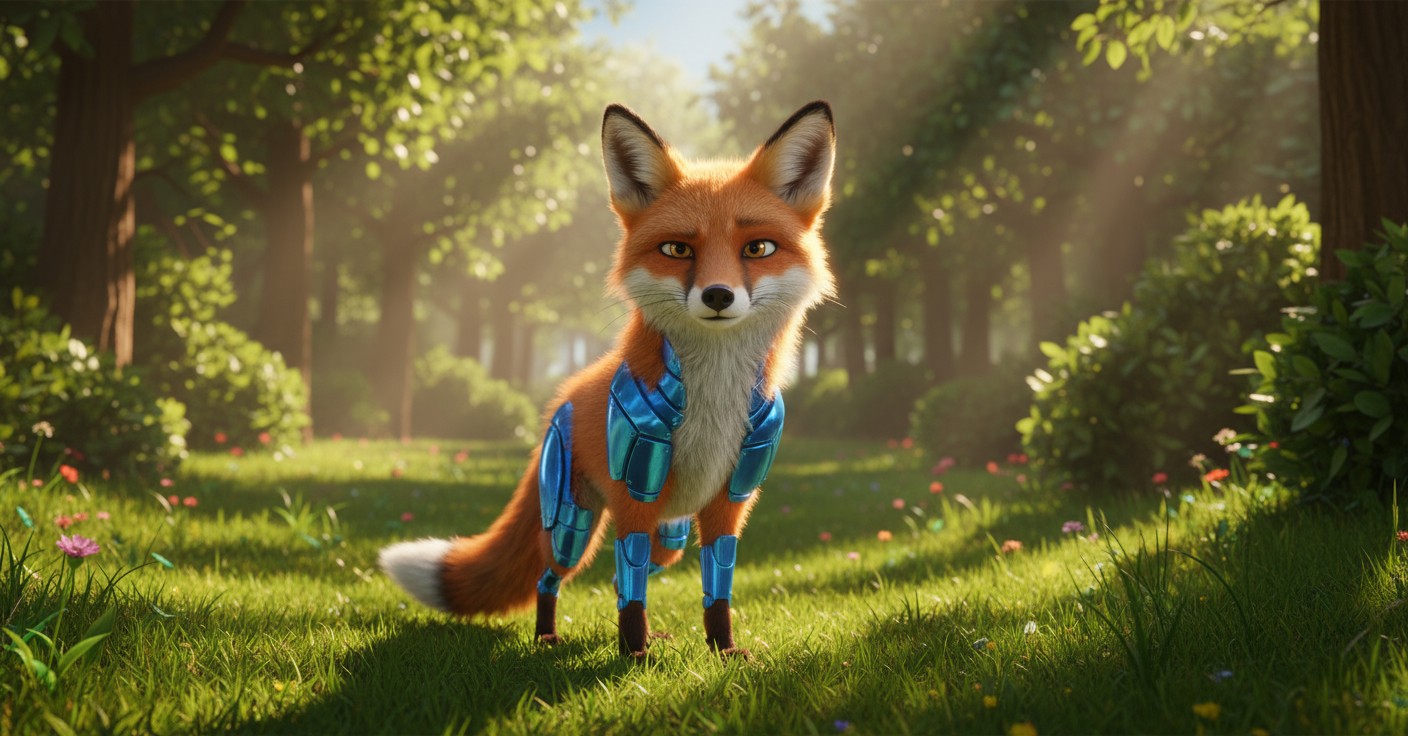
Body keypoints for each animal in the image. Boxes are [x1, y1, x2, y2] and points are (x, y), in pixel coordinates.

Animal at [378, 100, 837, 658]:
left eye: (758, 248)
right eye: (677, 250)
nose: (718, 295)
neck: (713, 404)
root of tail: (564, 397)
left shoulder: (730, 502)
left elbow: (717, 592)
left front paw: (723, 651)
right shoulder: (634, 500)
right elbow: (632, 593)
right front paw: (634, 654)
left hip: (671, 535)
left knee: (628, 574)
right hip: (572, 524)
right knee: (551, 577)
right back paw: (547, 636)